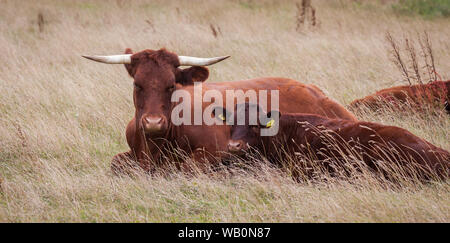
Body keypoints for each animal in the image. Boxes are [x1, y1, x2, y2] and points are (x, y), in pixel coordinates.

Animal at [82, 48, 358, 173]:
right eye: (137, 84)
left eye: (171, 85)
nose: (152, 122)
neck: (155, 146)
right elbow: (116, 163)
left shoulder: (214, 152)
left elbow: (185, 168)